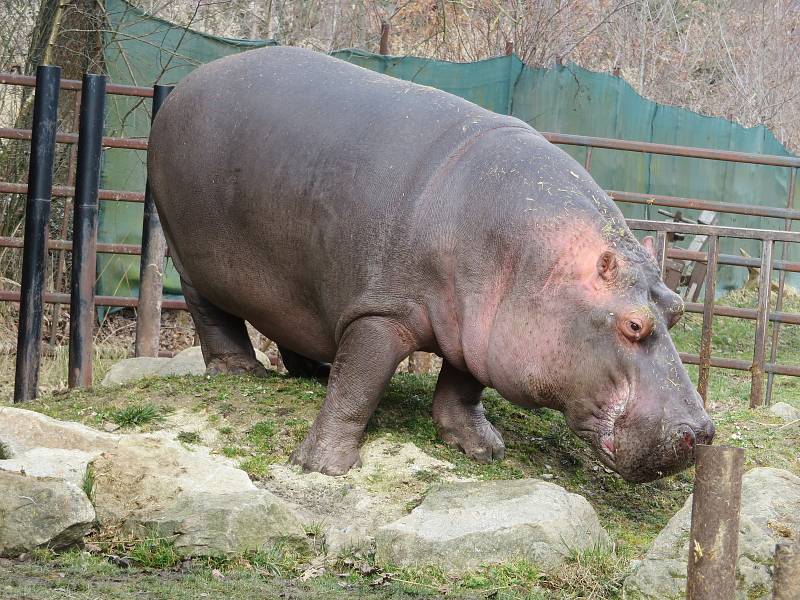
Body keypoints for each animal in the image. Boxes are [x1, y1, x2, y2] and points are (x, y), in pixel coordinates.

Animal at [147, 45, 716, 482]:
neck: (534, 262)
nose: (703, 432)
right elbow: (359, 385)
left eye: (676, 309)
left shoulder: (479, 330)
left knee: (294, 325)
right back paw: (240, 371)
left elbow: (462, 387)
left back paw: (312, 371)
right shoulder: (382, 311)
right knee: (210, 312)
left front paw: (482, 447)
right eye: (634, 324)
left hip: (294, 283)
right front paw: (322, 466)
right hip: (190, 250)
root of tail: (188, 82)